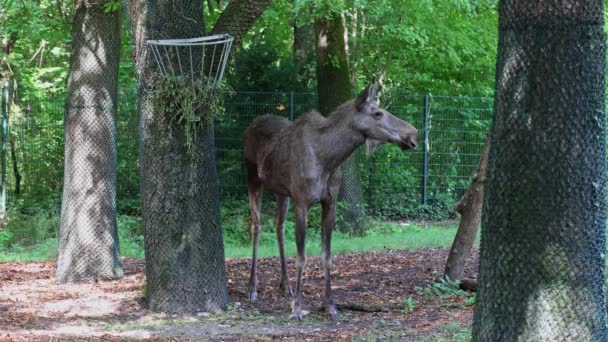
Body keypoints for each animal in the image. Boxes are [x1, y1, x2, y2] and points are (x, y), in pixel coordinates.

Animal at [242, 84, 418, 320]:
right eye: (377, 113)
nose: (414, 133)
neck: (328, 158)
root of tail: (251, 124)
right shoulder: (302, 202)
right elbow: (302, 257)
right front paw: (297, 308)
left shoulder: (330, 202)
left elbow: (327, 256)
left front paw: (330, 305)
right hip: (253, 177)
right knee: (257, 225)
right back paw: (252, 287)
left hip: (282, 191)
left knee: (279, 226)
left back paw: (286, 285)